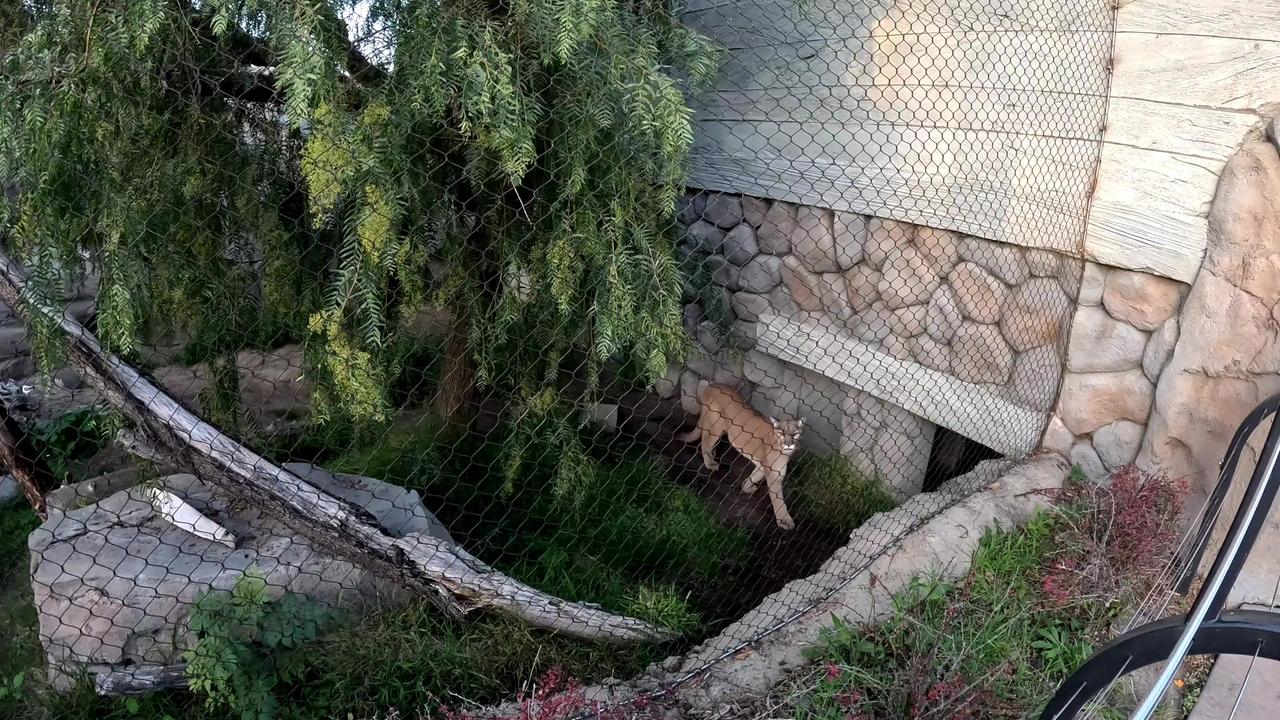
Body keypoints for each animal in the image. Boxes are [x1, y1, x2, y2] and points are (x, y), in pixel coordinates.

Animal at [680, 384, 798, 530]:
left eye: (795, 434)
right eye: (782, 433)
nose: (789, 444)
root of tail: (712, 386)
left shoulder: (764, 466)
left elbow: (754, 477)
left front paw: (747, 487)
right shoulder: (774, 473)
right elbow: (778, 499)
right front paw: (785, 520)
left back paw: (713, 454)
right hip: (716, 424)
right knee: (705, 442)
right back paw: (710, 463)